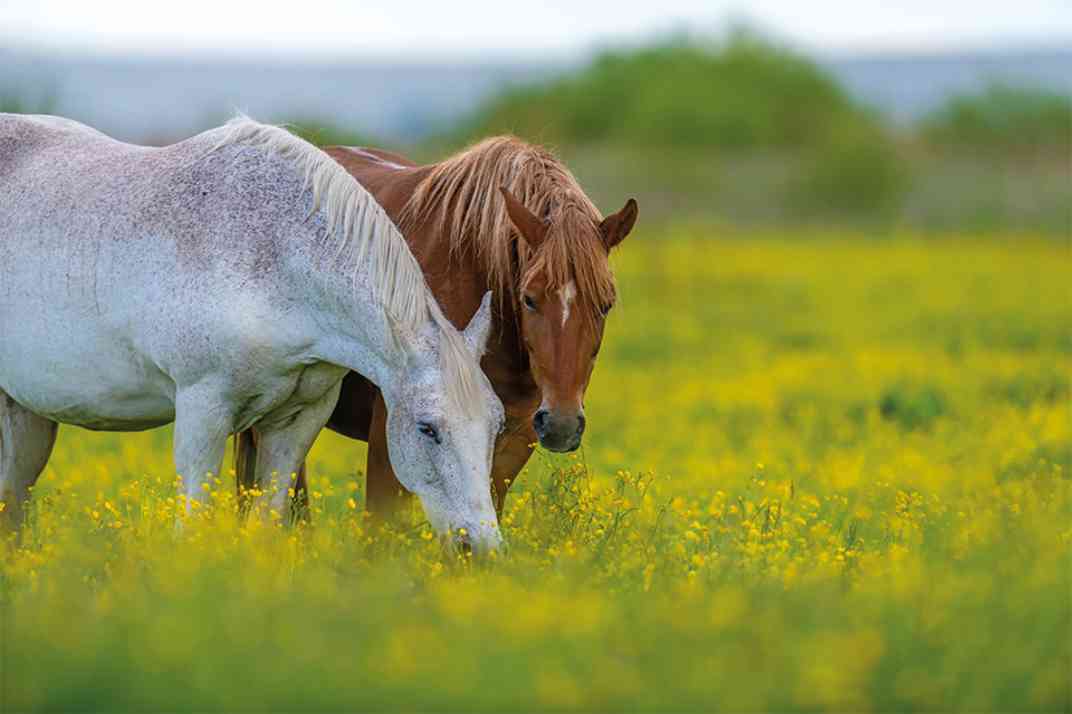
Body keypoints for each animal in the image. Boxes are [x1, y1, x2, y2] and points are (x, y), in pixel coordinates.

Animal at [0, 114, 505, 552]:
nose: (480, 550)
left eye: (497, 426)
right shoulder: (202, 409)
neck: (274, 256)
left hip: (25, 414)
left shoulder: (298, 419)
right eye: (427, 428)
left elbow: (266, 522)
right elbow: (193, 522)